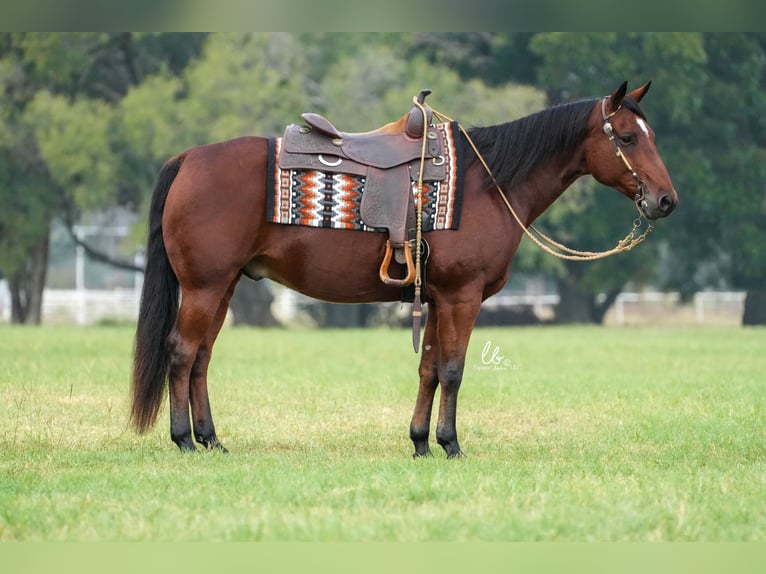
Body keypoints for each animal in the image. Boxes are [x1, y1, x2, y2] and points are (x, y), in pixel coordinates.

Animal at [130, 80, 680, 460]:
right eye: (628, 138)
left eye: (651, 134)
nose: (665, 201)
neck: (486, 185)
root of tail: (189, 158)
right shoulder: (461, 297)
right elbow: (454, 370)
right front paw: (451, 444)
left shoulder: (436, 299)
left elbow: (429, 369)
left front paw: (420, 443)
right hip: (204, 287)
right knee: (181, 352)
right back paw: (183, 440)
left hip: (222, 288)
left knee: (201, 358)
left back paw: (211, 440)